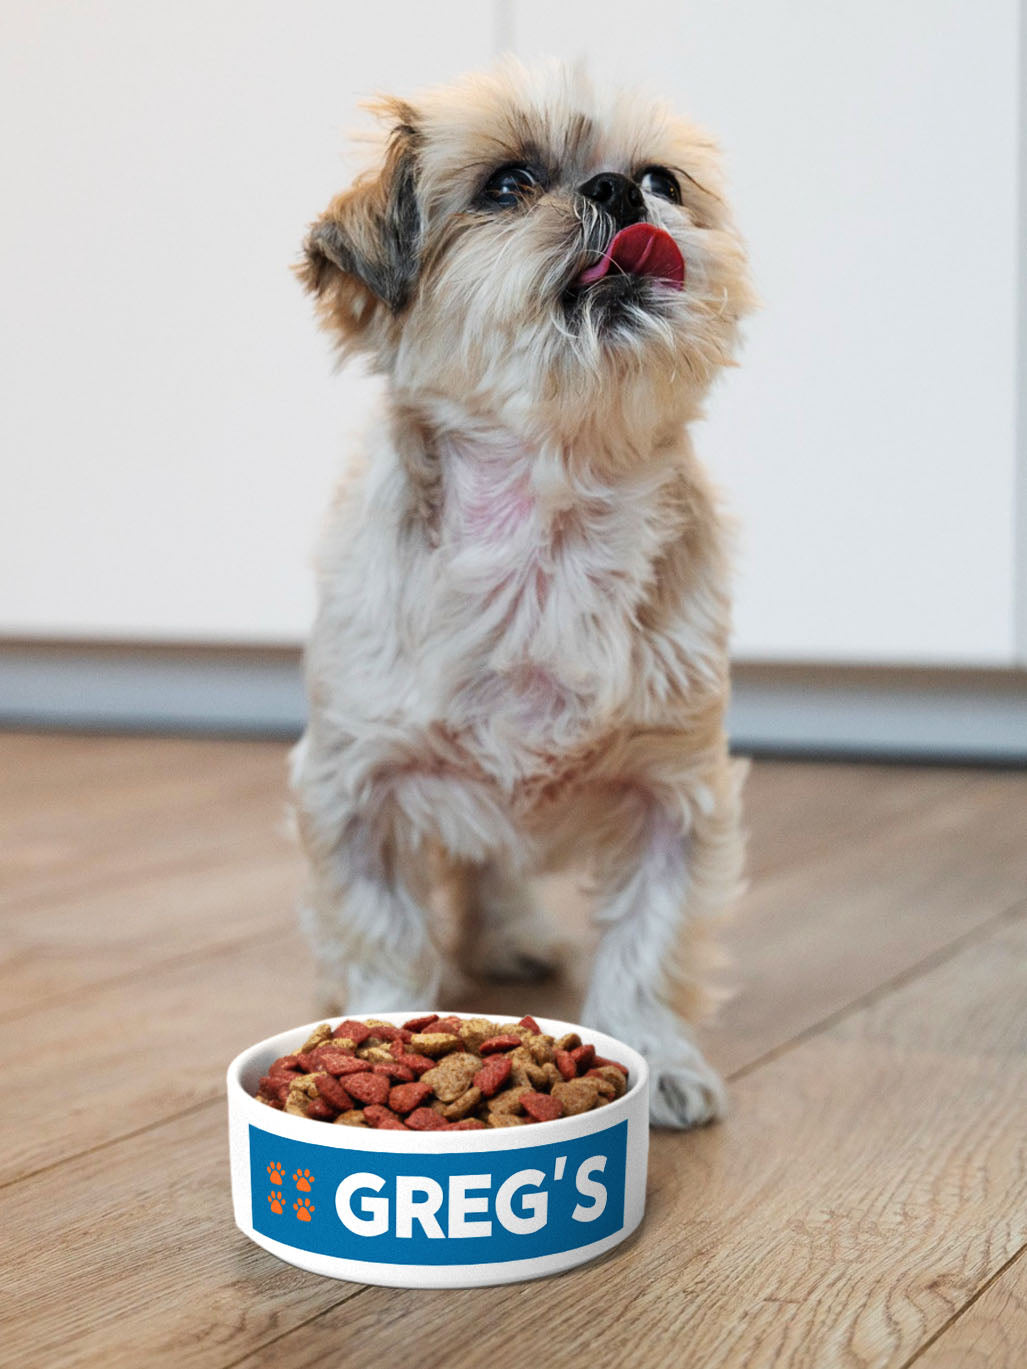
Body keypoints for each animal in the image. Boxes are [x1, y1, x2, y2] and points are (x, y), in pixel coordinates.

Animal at [290, 58, 755, 1122]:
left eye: (663, 178)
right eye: (507, 184)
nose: (619, 192)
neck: (546, 537)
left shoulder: (675, 794)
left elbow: (649, 945)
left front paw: (658, 1061)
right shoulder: (356, 787)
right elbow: (384, 929)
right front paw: (378, 1031)